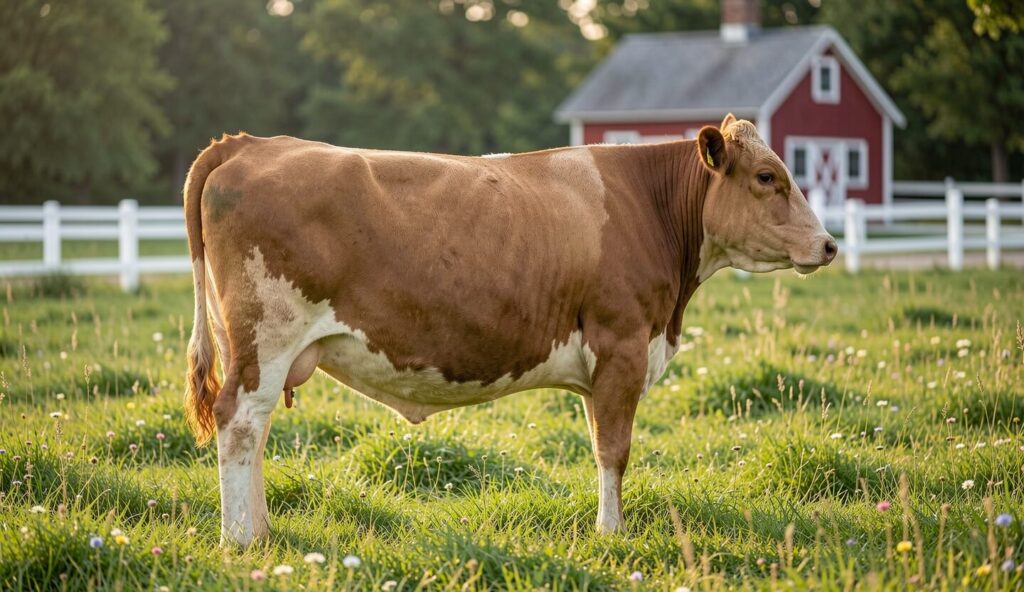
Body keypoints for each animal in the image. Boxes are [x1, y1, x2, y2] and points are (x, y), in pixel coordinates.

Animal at [183, 114, 837, 547]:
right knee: (240, 421)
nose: (829, 245)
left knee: (256, 427)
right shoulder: (622, 346)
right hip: (267, 334)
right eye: (766, 177)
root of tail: (249, 144)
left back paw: (262, 530)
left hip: (262, 345)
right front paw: (611, 533)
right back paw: (240, 539)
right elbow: (614, 450)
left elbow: (601, 443)